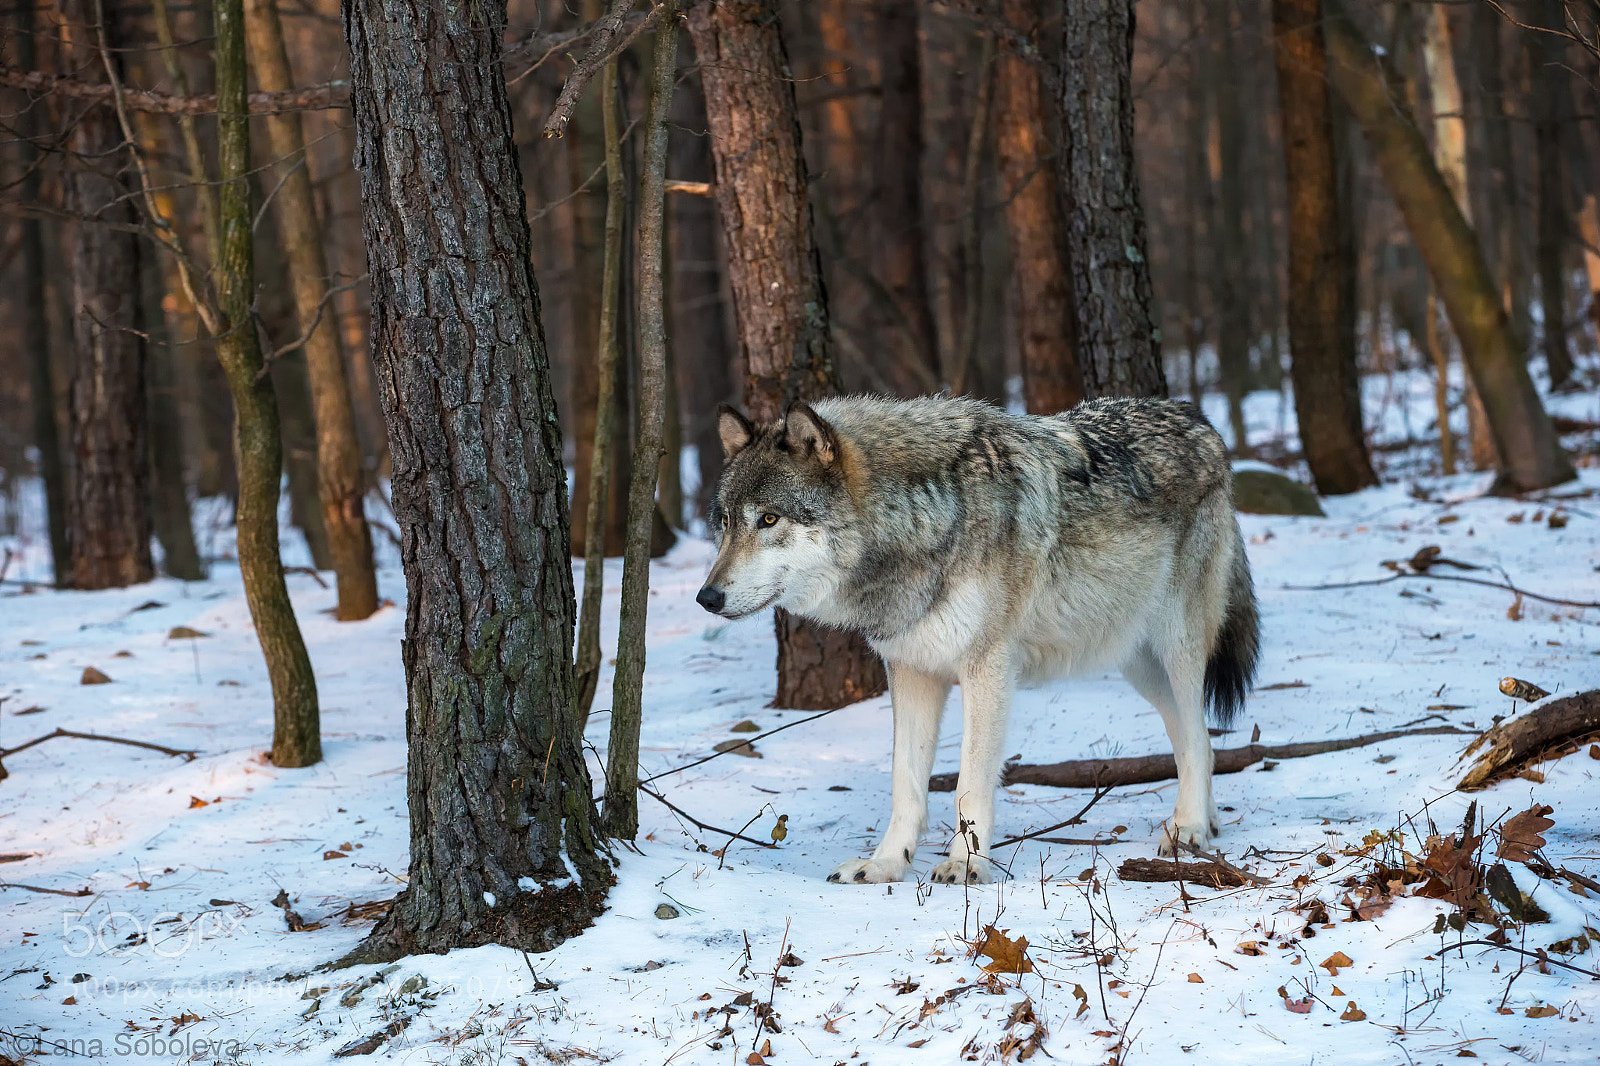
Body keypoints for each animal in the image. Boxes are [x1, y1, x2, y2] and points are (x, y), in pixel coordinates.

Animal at [696, 394, 1258, 885]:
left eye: (769, 519)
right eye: (724, 522)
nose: (707, 597)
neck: (920, 522)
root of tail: (1196, 418)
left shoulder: (987, 669)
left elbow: (969, 785)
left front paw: (965, 866)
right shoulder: (911, 670)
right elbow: (905, 783)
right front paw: (884, 866)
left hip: (1177, 646)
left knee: (1197, 733)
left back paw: (1188, 830)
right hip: (1136, 666)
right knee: (1193, 738)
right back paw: (1202, 822)